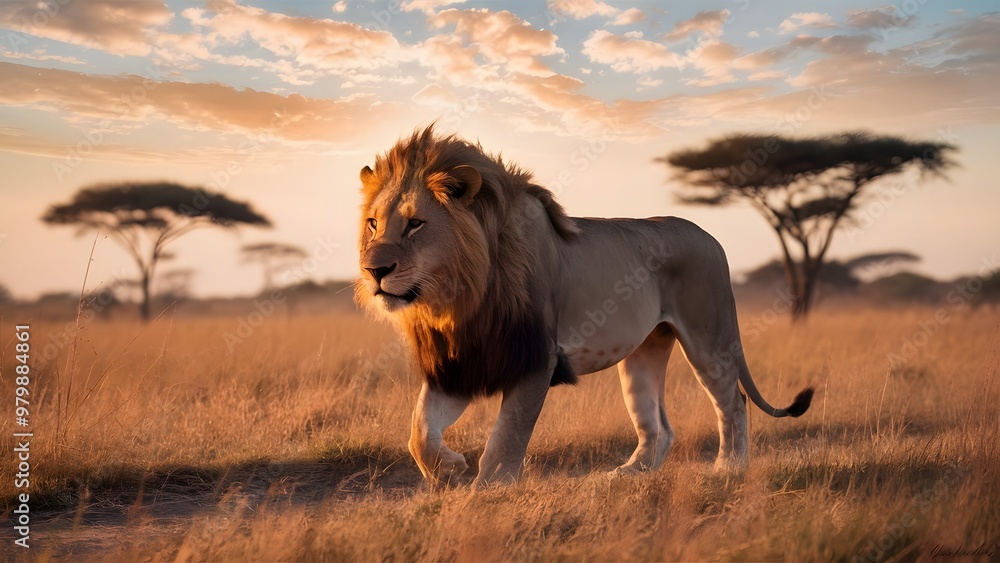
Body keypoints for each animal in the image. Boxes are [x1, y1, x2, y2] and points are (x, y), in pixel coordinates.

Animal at [356, 126, 813, 487]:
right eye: (374, 224)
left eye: (415, 224)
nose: (373, 270)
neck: (457, 299)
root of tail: (711, 237)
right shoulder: (463, 363)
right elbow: (419, 430)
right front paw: (448, 468)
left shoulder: (535, 359)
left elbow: (507, 436)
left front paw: (489, 490)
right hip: (643, 354)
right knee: (660, 426)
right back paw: (628, 475)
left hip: (709, 336)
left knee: (733, 401)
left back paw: (728, 469)